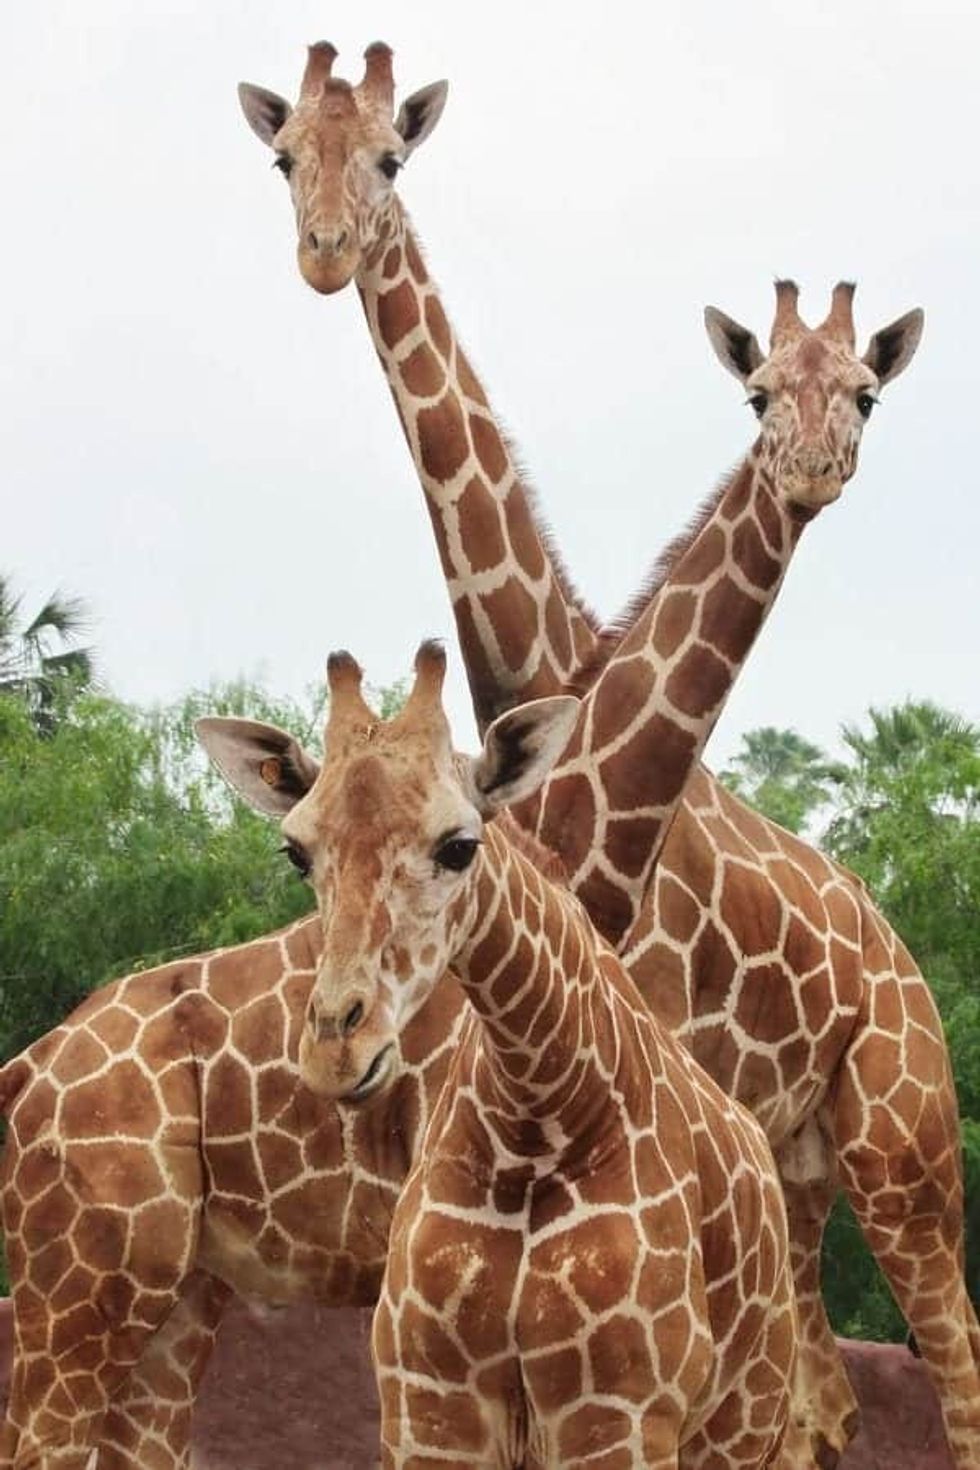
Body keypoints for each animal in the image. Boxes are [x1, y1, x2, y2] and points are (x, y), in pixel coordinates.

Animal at [209, 640, 799, 1469]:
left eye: (459, 846)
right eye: (297, 851)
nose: (336, 1047)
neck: (535, 1112)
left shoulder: (617, 1410)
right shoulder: (429, 1402)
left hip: (742, 1426)